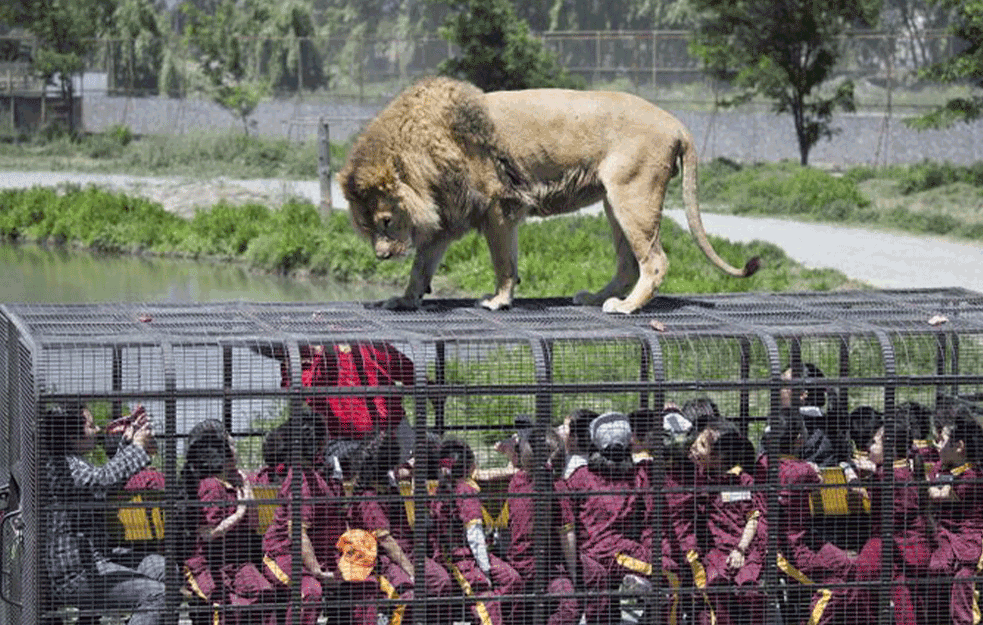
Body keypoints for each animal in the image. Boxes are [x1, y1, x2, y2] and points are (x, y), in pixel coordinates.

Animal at [338, 77, 760, 312]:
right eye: (367, 228)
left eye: (386, 221)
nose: (380, 255)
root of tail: (676, 123)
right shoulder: (449, 218)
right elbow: (420, 266)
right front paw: (404, 300)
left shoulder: (499, 208)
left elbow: (503, 262)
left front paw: (498, 300)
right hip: (613, 202)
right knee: (628, 264)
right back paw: (596, 297)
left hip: (633, 195)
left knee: (654, 261)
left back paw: (625, 307)